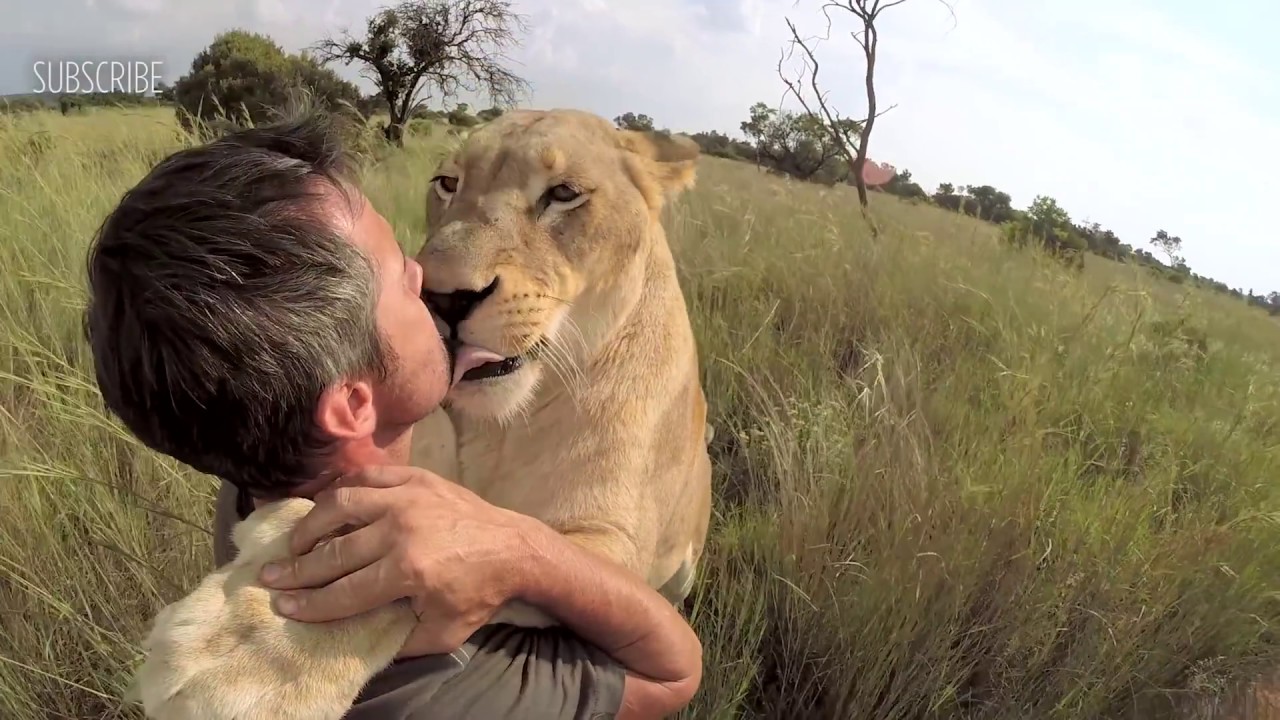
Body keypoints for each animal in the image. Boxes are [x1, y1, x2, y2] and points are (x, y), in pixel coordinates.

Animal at [409, 108, 715, 627]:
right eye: (448, 183)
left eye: (565, 194)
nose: (442, 297)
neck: (500, 431)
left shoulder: (610, 542)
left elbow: (506, 552)